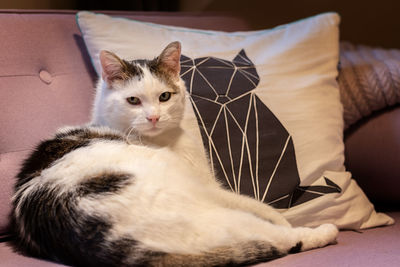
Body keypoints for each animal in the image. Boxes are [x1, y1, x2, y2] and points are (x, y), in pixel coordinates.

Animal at [10, 42, 338, 267]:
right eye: (133, 100)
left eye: (164, 96)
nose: (154, 117)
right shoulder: (211, 189)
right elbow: (259, 207)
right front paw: (283, 219)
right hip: (208, 211)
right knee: (277, 238)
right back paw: (324, 231)